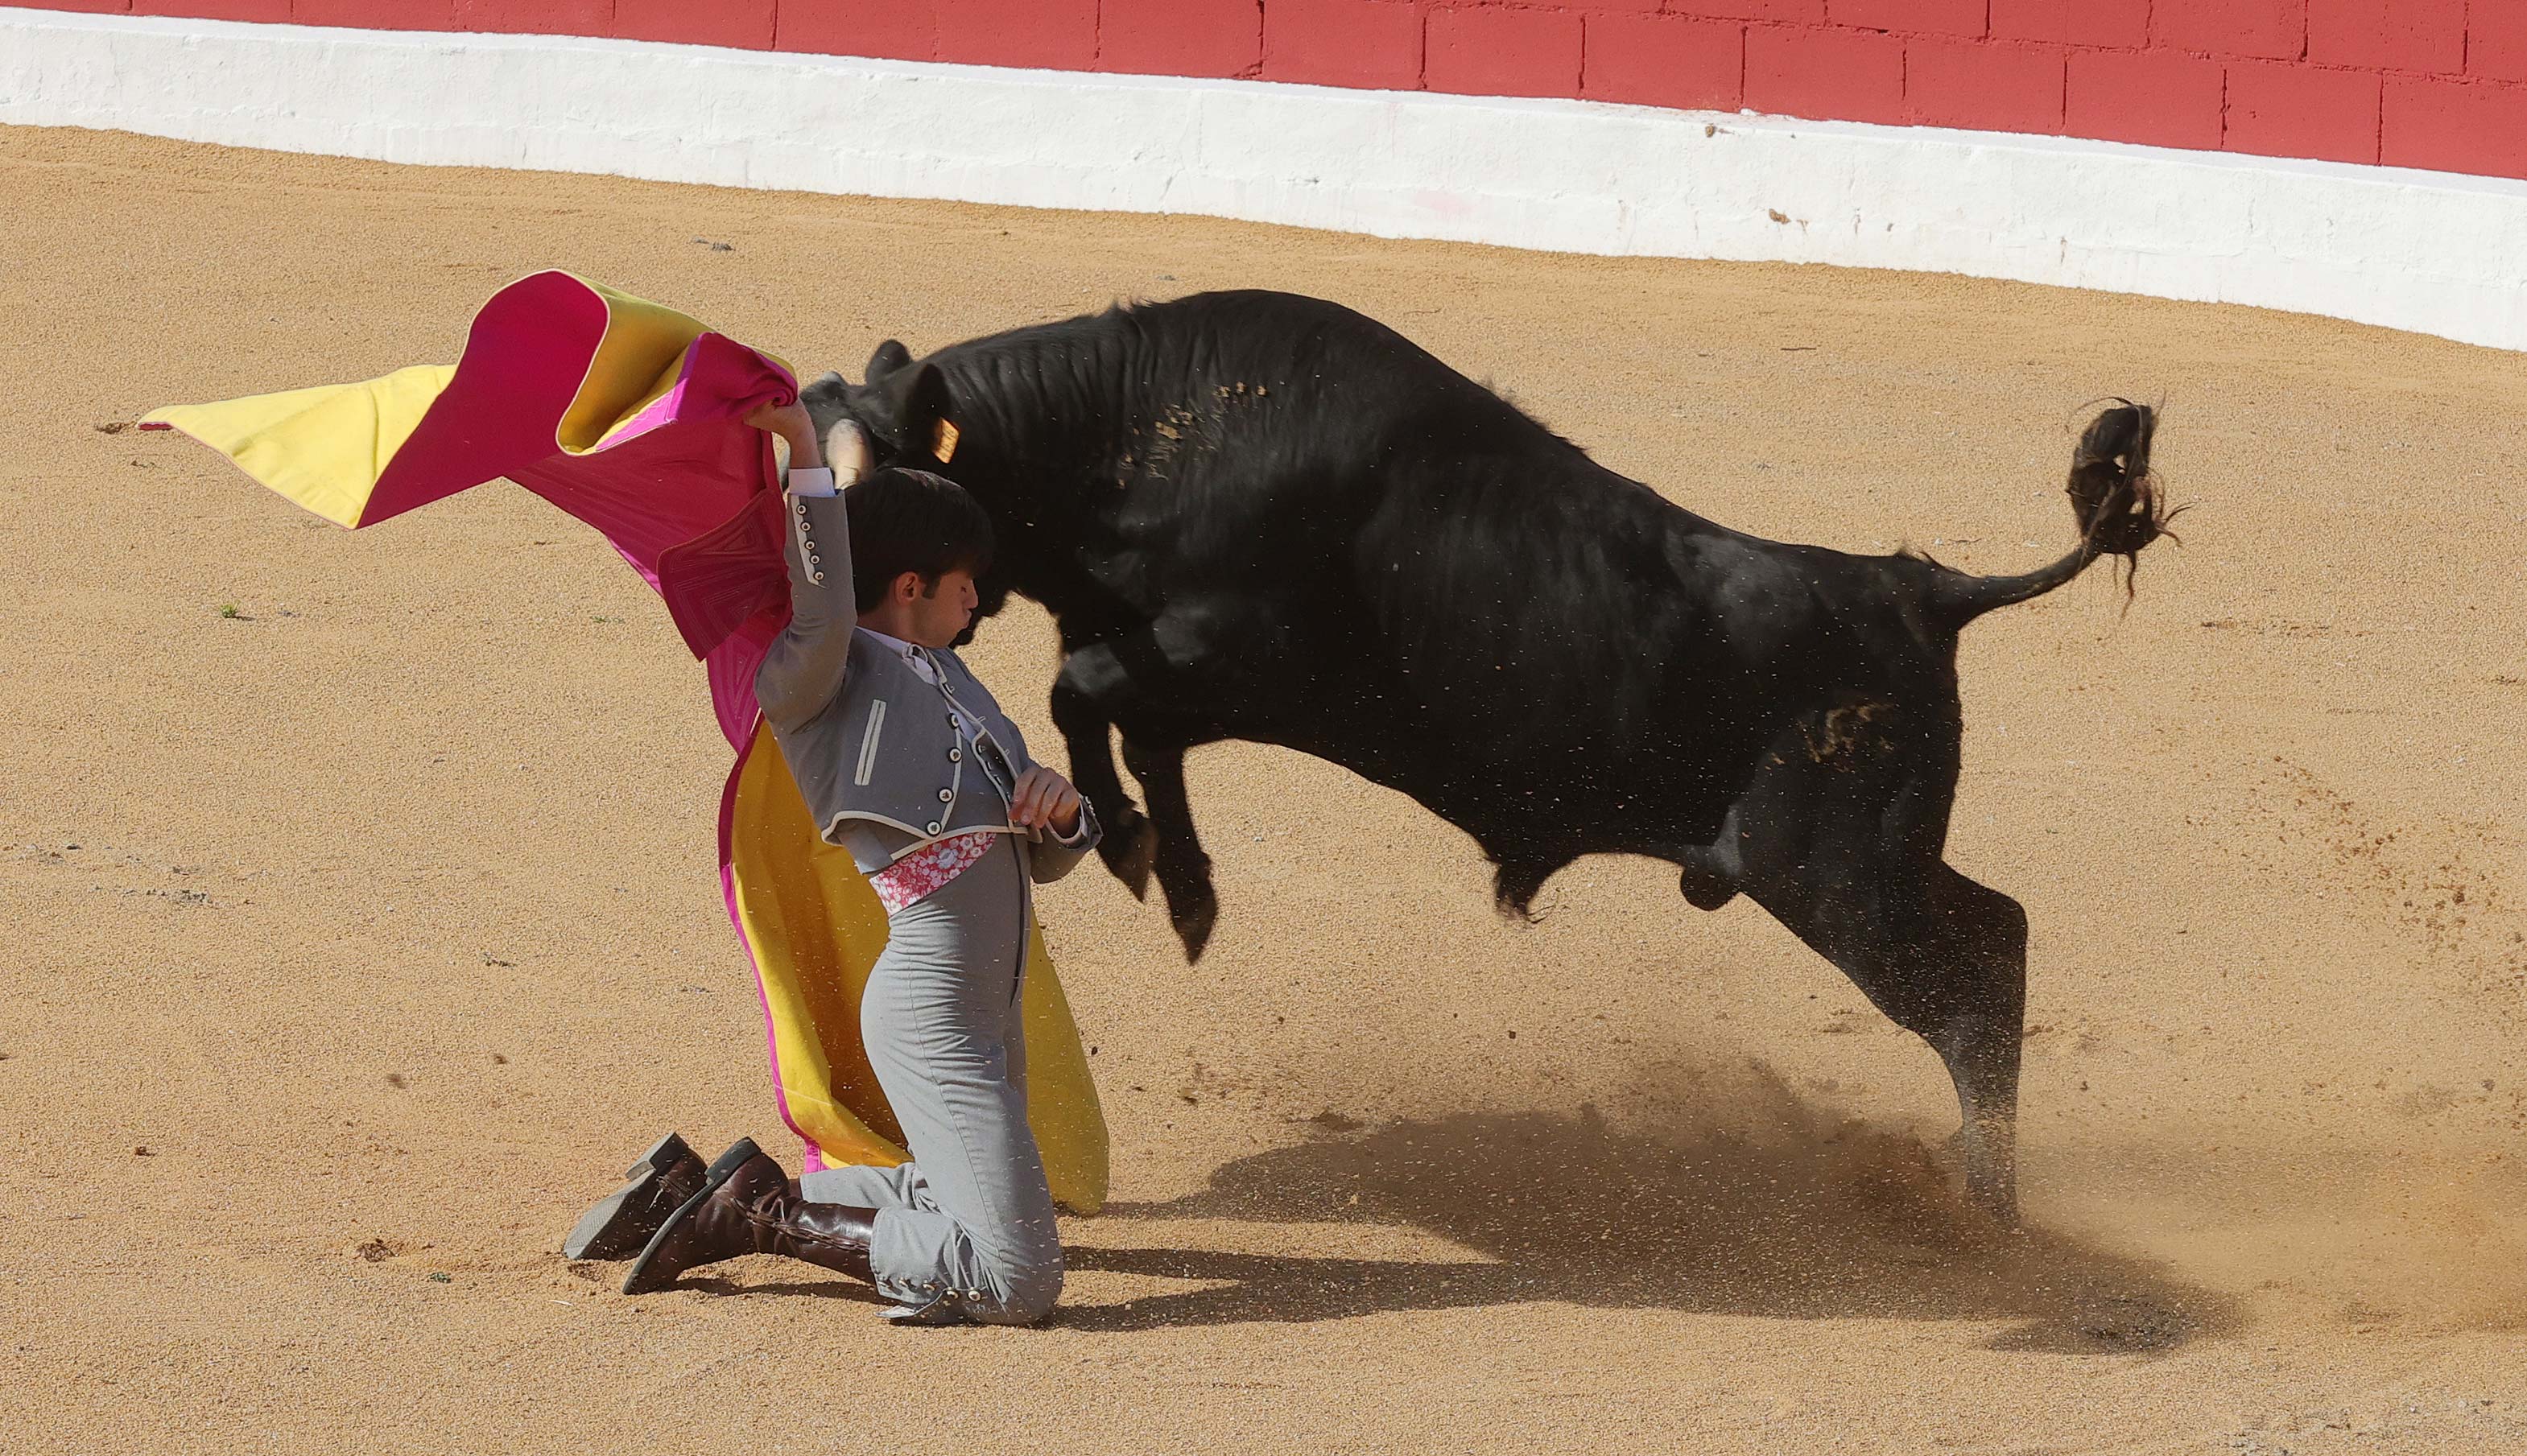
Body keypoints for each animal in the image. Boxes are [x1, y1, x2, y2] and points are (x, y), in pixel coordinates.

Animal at [803, 291, 2173, 1223]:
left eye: (881, 501)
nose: (817, 638)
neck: (1136, 432)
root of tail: (1921, 590)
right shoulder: (1171, 675)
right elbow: (1121, 725)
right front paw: (1174, 877)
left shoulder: (1230, 654)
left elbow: (1079, 692)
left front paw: (1143, 856)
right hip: (1860, 865)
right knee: (1993, 933)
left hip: (1837, 876)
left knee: (1980, 968)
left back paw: (1981, 1210)